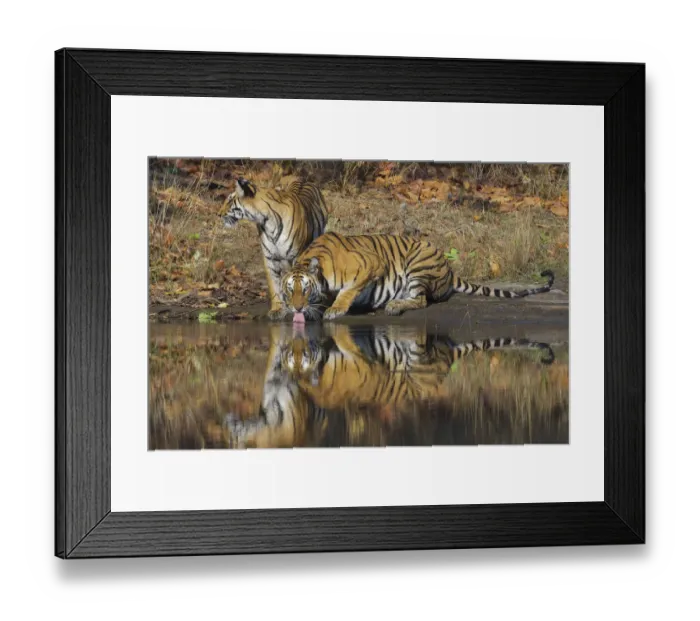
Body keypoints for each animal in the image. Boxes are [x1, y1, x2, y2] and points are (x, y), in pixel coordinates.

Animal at [220, 177, 328, 320]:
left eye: (229, 200)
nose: (218, 214)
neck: (267, 223)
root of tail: (302, 179)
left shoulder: (297, 256)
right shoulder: (270, 258)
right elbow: (274, 285)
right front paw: (277, 309)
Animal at [279, 231, 555, 322]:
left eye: (305, 289)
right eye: (289, 290)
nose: (296, 309)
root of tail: (450, 269)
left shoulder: (370, 264)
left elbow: (348, 290)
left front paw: (334, 309)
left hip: (417, 263)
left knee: (421, 300)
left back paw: (394, 306)